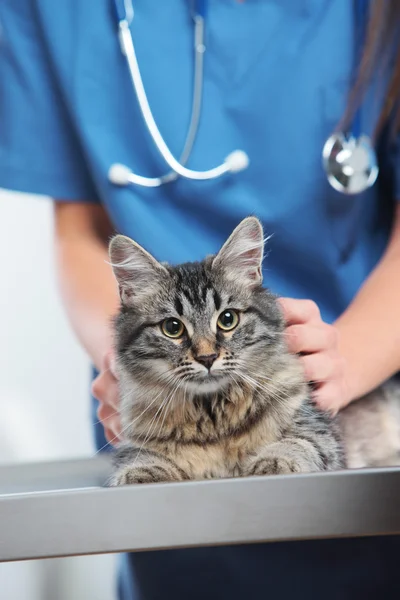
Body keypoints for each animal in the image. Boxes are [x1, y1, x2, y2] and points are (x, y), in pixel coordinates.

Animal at [108, 218, 346, 486]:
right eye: (172, 328)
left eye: (227, 319)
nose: (207, 358)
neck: (213, 421)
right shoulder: (134, 442)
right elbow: (141, 459)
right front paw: (143, 476)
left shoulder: (318, 430)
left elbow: (296, 444)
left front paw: (273, 465)